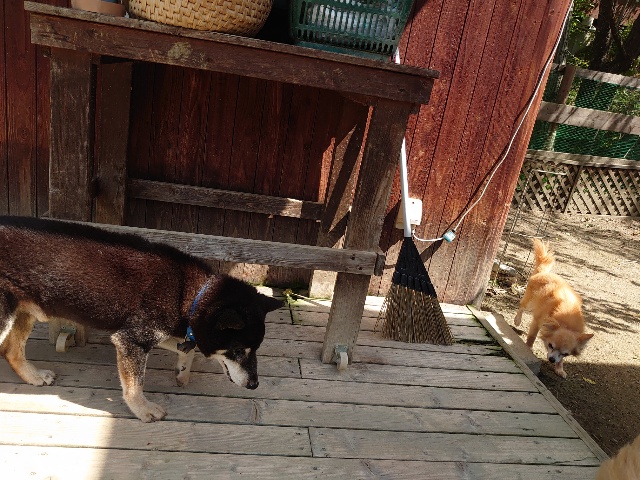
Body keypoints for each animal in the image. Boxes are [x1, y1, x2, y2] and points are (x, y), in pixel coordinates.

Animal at [0, 216, 282, 422]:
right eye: (238, 350)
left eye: (255, 349)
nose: (254, 385)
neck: (189, 294)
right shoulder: (132, 340)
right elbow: (136, 384)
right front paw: (143, 409)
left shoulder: (159, 333)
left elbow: (188, 349)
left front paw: (182, 372)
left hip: (23, 311)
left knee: (12, 351)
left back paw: (33, 376)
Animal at [514, 238, 593, 378]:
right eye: (550, 345)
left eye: (565, 353)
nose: (551, 359)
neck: (566, 323)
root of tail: (544, 272)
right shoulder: (537, 322)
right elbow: (532, 336)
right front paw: (528, 348)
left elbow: (561, 360)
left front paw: (559, 368)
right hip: (530, 303)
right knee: (521, 306)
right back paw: (517, 320)